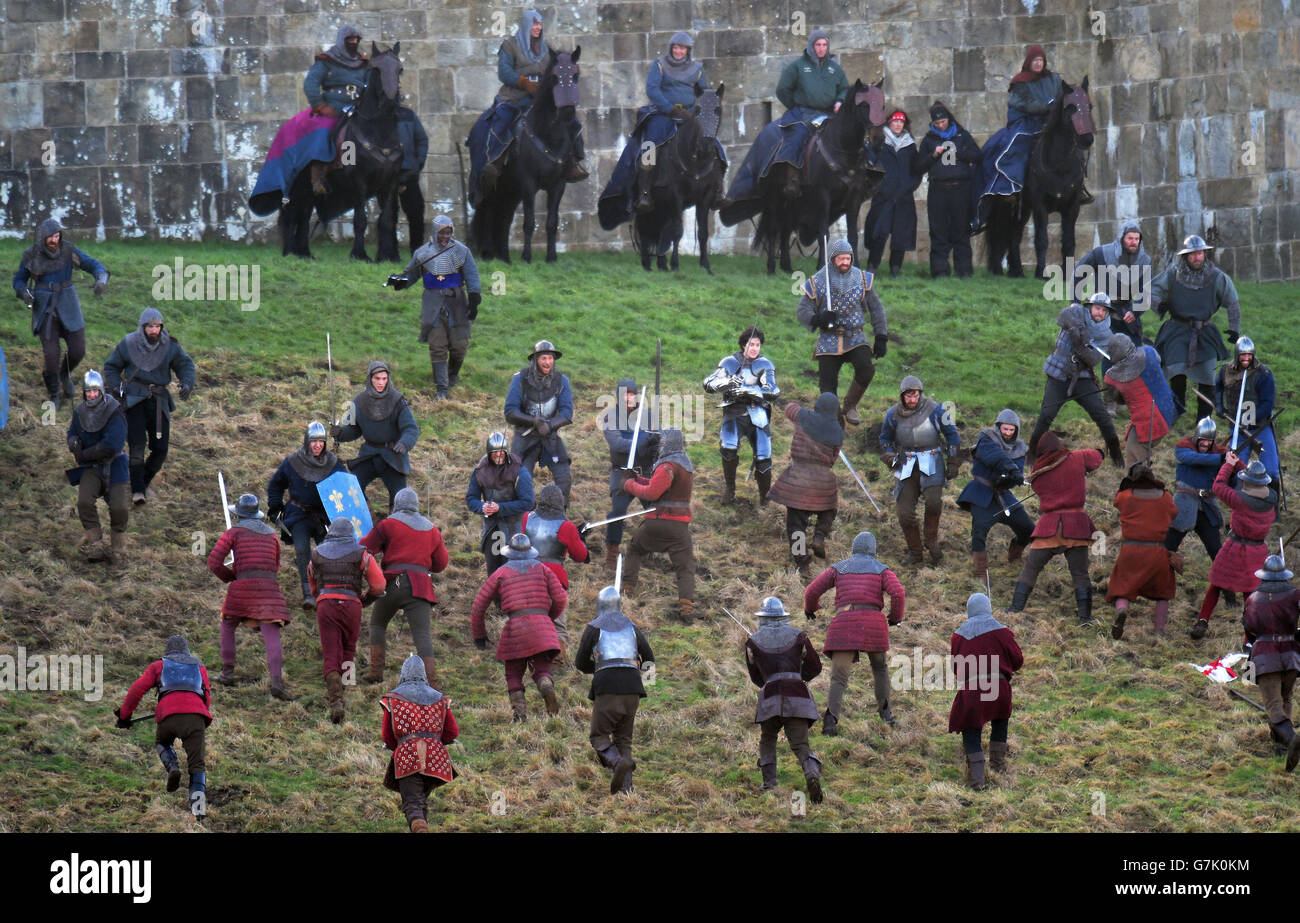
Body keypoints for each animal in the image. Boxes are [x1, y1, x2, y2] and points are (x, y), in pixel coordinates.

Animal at [280, 44, 403, 263]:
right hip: (297, 186)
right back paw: (289, 253)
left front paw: (387, 257)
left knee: (304, 214)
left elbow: (386, 221)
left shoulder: (390, 183)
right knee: (292, 214)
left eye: (400, 70)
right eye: (376, 70)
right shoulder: (359, 182)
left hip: (310, 190)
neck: (380, 132)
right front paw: (359, 254)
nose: (391, 101)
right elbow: (361, 220)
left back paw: (304, 253)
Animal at [470, 49, 582, 262]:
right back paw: (488, 253)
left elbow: (552, 222)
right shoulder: (528, 184)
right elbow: (529, 222)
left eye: (576, 75)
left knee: (504, 216)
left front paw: (551, 257)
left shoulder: (558, 185)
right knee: (489, 210)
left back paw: (504, 256)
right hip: (491, 183)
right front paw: (526, 257)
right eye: (554, 77)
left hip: (510, 189)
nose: (567, 111)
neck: (548, 134)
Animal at [631, 84, 733, 273]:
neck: (697, 160)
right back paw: (647, 264)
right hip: (649, 204)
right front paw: (676, 265)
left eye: (718, 109)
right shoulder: (676, 195)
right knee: (644, 229)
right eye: (698, 109)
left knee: (662, 230)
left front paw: (705, 266)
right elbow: (677, 231)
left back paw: (662, 264)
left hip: (663, 207)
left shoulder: (705, 197)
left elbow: (702, 233)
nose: (706, 142)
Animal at [743, 80, 883, 274]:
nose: (878, 137)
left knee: (786, 229)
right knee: (773, 229)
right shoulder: (823, 196)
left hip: (792, 202)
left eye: (882, 104)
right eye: (863, 105)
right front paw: (822, 266)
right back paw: (771, 268)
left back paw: (787, 266)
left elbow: (853, 235)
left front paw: (855, 267)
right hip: (775, 197)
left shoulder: (853, 198)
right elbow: (823, 233)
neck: (842, 150)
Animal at [987, 77, 1092, 280]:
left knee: (1014, 234)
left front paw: (1068, 275)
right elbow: (1042, 239)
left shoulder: (1072, 206)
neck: (1060, 165)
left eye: (1089, 106)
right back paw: (999, 270)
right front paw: (1040, 273)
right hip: (1004, 206)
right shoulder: (1040, 205)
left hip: (1023, 209)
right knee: (1000, 234)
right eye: (1071, 108)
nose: (1087, 139)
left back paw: (1017, 271)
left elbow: (1069, 240)